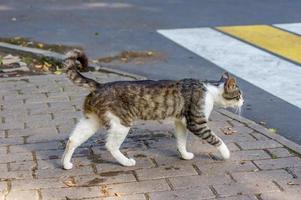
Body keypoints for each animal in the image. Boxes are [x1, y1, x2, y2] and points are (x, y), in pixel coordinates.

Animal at [61, 49, 244, 170]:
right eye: (239, 94)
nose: (243, 101)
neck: (211, 91)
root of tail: (99, 85)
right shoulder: (196, 123)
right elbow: (216, 139)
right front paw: (226, 154)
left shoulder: (181, 122)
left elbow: (181, 141)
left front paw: (185, 155)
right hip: (121, 123)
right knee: (110, 145)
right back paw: (126, 162)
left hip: (91, 121)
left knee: (72, 140)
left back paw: (66, 164)